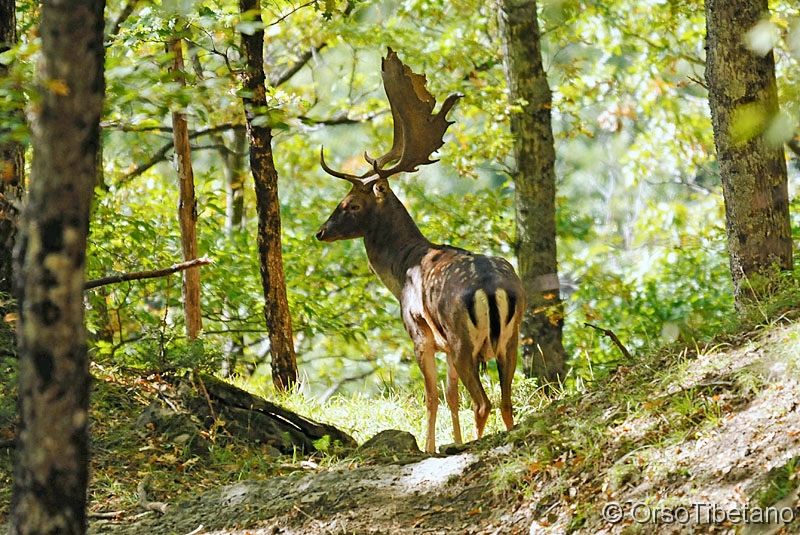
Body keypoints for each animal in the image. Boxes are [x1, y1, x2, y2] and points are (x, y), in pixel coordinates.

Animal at [316, 49, 528, 452]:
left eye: (351, 203)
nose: (321, 232)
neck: (402, 270)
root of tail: (493, 289)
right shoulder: (445, 346)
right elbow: (451, 397)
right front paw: (446, 440)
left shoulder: (419, 332)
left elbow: (432, 397)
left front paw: (429, 447)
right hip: (512, 337)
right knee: (505, 401)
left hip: (462, 338)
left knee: (484, 403)